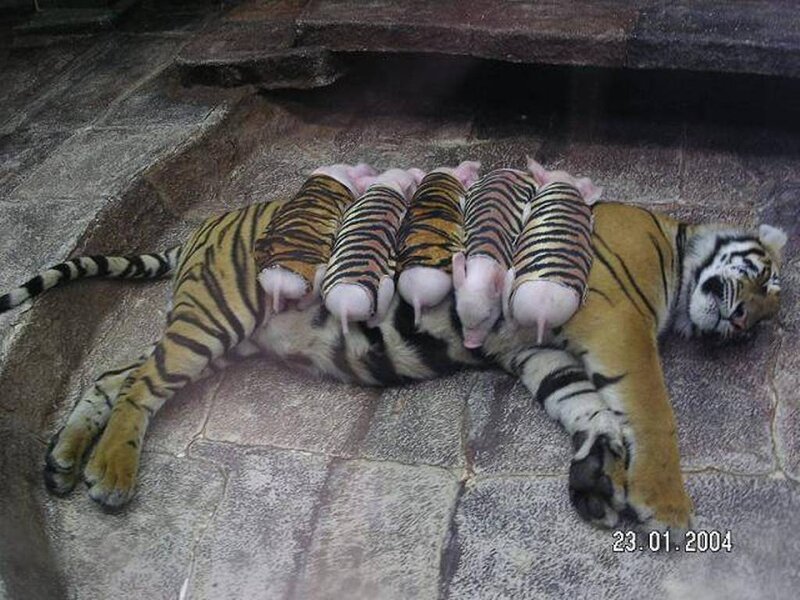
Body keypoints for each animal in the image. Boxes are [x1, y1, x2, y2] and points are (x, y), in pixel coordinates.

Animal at [0, 199, 786, 534]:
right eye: (766, 281)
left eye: (762, 317)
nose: (741, 324)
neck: (676, 248)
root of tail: (210, 222)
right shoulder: (616, 323)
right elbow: (651, 410)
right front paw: (667, 507)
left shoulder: (538, 351)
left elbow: (588, 409)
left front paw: (596, 480)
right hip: (216, 315)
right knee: (139, 385)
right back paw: (110, 474)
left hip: (219, 334)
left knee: (115, 375)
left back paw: (65, 462)